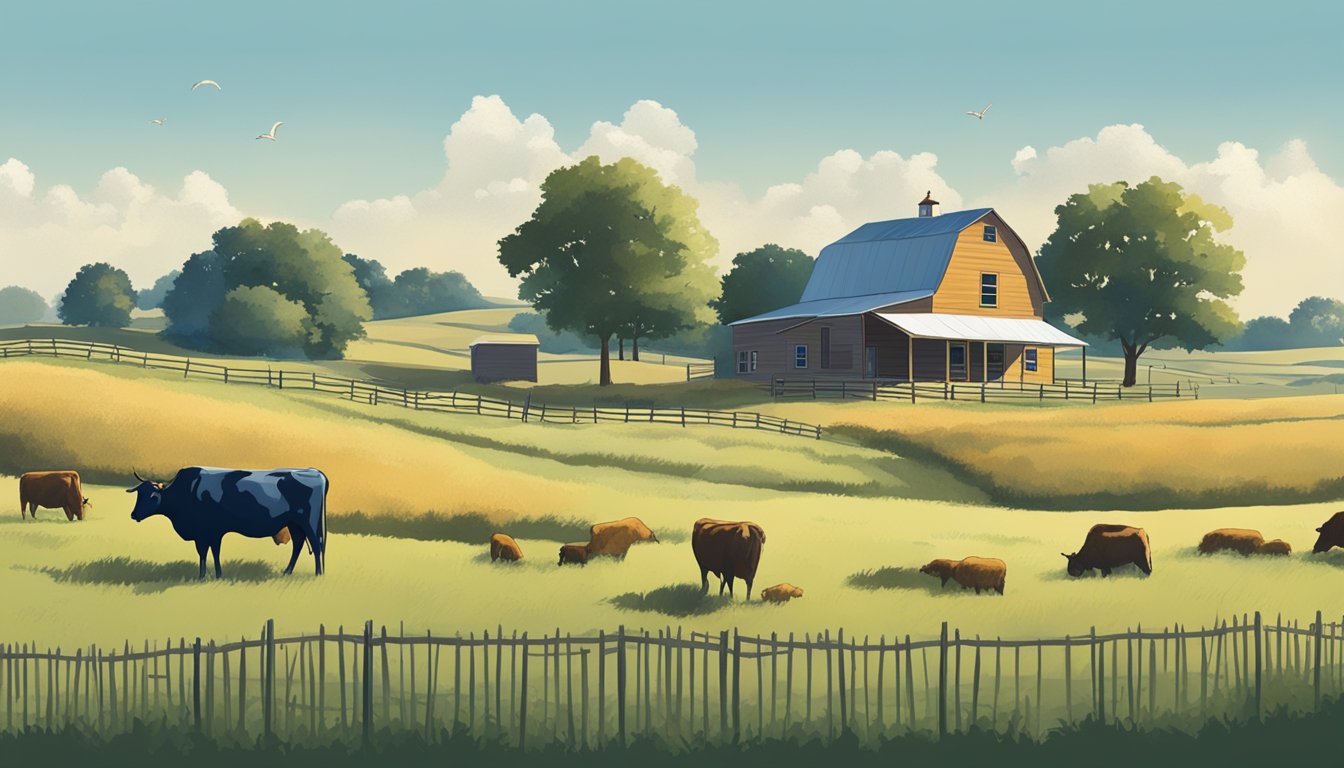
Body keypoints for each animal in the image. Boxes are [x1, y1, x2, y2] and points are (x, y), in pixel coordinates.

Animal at [127, 465, 327, 581]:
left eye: (152, 496)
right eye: (139, 494)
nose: (133, 514)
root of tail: (315, 471)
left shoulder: (213, 530)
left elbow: (213, 552)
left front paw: (213, 575)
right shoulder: (203, 533)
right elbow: (204, 553)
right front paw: (204, 575)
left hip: (309, 522)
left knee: (316, 545)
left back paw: (318, 574)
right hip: (294, 523)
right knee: (298, 544)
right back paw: (287, 572)